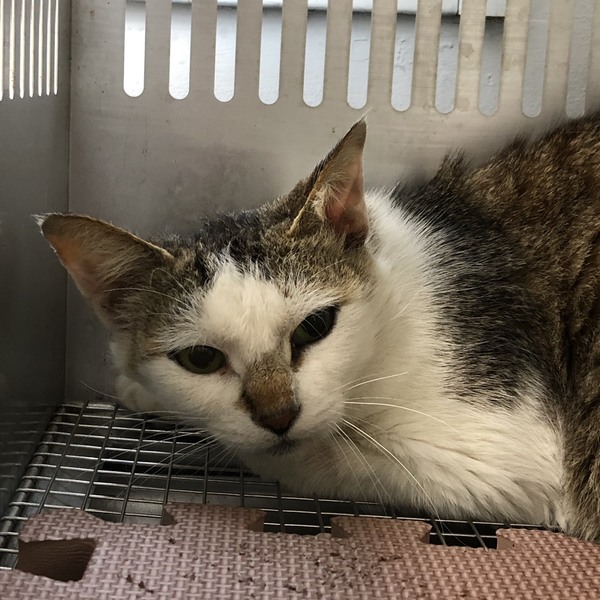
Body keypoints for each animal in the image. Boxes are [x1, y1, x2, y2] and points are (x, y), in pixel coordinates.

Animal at [41, 114, 600, 540]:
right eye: (200, 359)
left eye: (315, 326)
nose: (279, 415)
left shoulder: (499, 452)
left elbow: (310, 456)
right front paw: (140, 387)